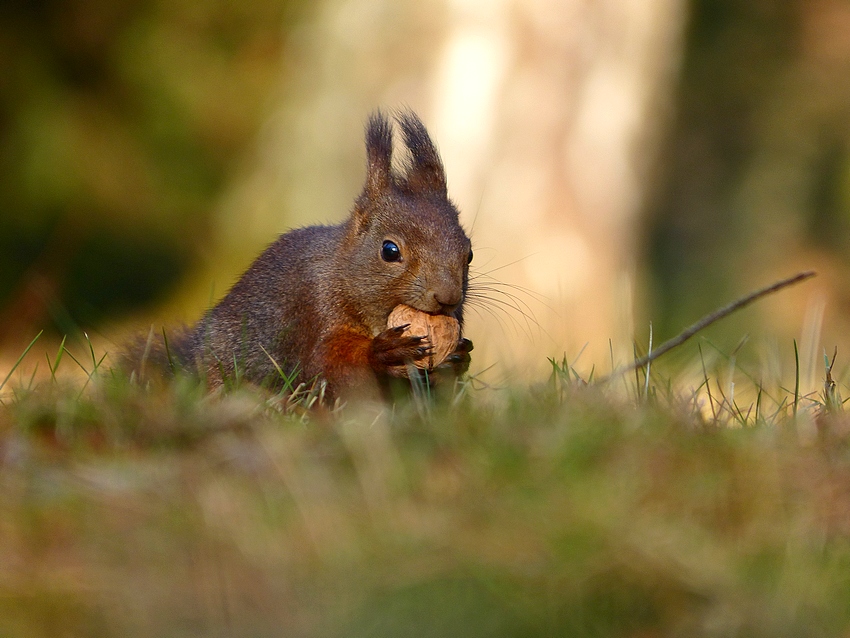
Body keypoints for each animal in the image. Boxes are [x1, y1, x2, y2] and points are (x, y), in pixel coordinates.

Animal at [126, 111, 473, 402]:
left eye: (468, 253)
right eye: (390, 251)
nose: (448, 297)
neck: (341, 273)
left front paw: (458, 355)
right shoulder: (315, 307)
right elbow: (330, 366)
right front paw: (385, 352)